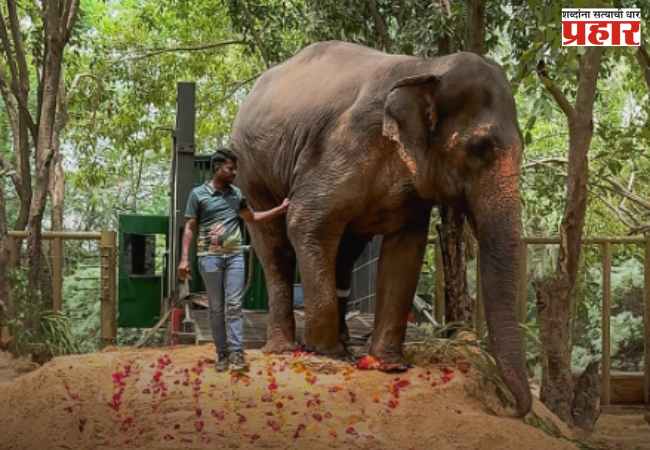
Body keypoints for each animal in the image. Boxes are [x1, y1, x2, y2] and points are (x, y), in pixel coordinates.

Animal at [231, 41, 531, 416]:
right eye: (479, 148)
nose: (511, 408)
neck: (427, 66)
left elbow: (406, 249)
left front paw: (387, 364)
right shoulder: (343, 146)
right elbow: (306, 221)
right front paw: (327, 354)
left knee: (345, 253)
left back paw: (342, 340)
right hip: (251, 171)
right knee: (275, 246)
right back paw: (286, 348)